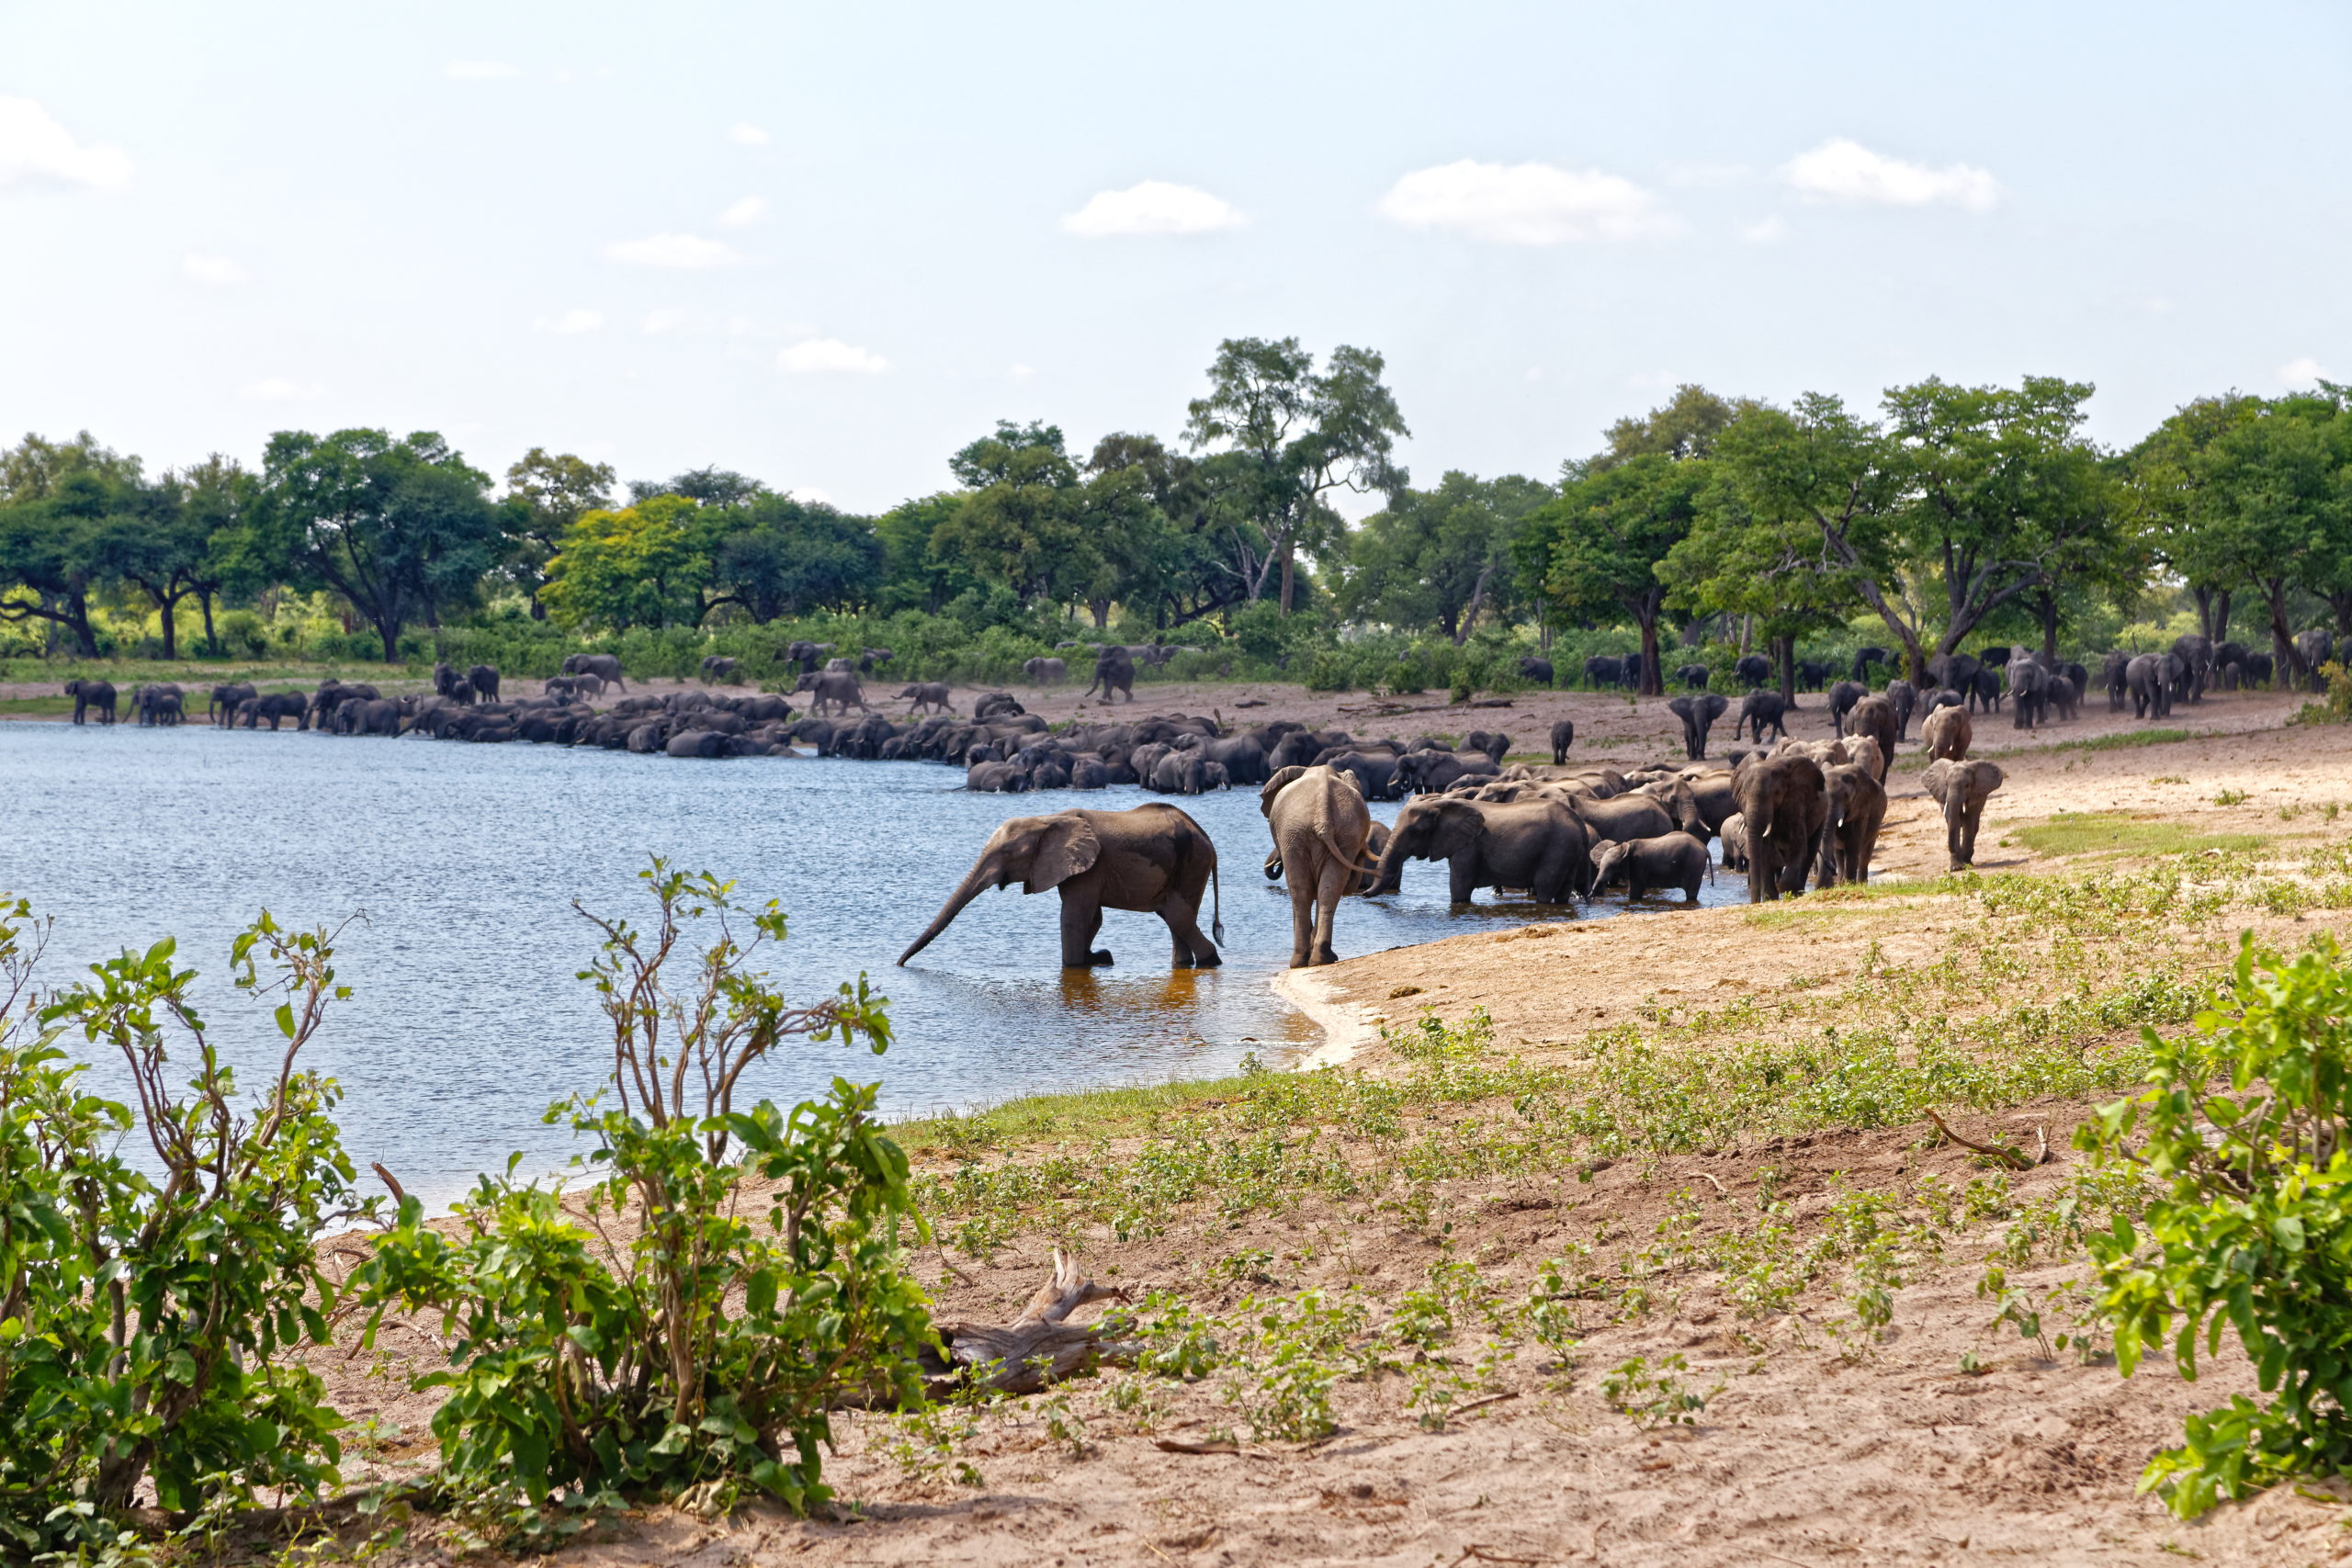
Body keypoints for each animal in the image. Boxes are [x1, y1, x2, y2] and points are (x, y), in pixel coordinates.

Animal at [898, 808, 1232, 968]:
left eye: (1006, 853)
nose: (898, 965)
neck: (1047, 818)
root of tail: (1208, 838)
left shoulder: (1090, 866)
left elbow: (1074, 916)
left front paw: (1076, 965)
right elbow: (1092, 917)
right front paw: (1097, 958)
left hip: (1192, 863)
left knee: (1177, 915)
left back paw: (1209, 960)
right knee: (1176, 917)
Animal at [1374, 799, 1589, 907]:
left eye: (1414, 832)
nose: (1367, 895)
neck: (1438, 804)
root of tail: (1578, 821)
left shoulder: (1469, 847)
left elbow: (1460, 885)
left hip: (1557, 848)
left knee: (1545, 888)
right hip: (1568, 851)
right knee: (1563, 891)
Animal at [1589, 831, 1721, 907]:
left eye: (1613, 866)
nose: (1592, 897)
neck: (1624, 846)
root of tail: (1705, 849)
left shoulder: (1638, 866)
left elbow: (1635, 892)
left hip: (1693, 865)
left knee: (1691, 893)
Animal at [1740, 751, 1825, 902]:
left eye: (1776, 793)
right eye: (1744, 793)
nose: (1754, 903)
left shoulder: (1796, 801)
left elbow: (1799, 847)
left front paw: (1787, 889)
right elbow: (1764, 850)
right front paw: (1770, 898)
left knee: (1810, 851)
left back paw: (1798, 891)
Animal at [1815, 766, 1891, 888]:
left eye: (1846, 796)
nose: (1832, 869)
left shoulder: (1861, 808)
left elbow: (1852, 844)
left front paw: (1850, 885)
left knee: (1864, 855)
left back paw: (1861, 885)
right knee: (1839, 855)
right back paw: (1841, 883)